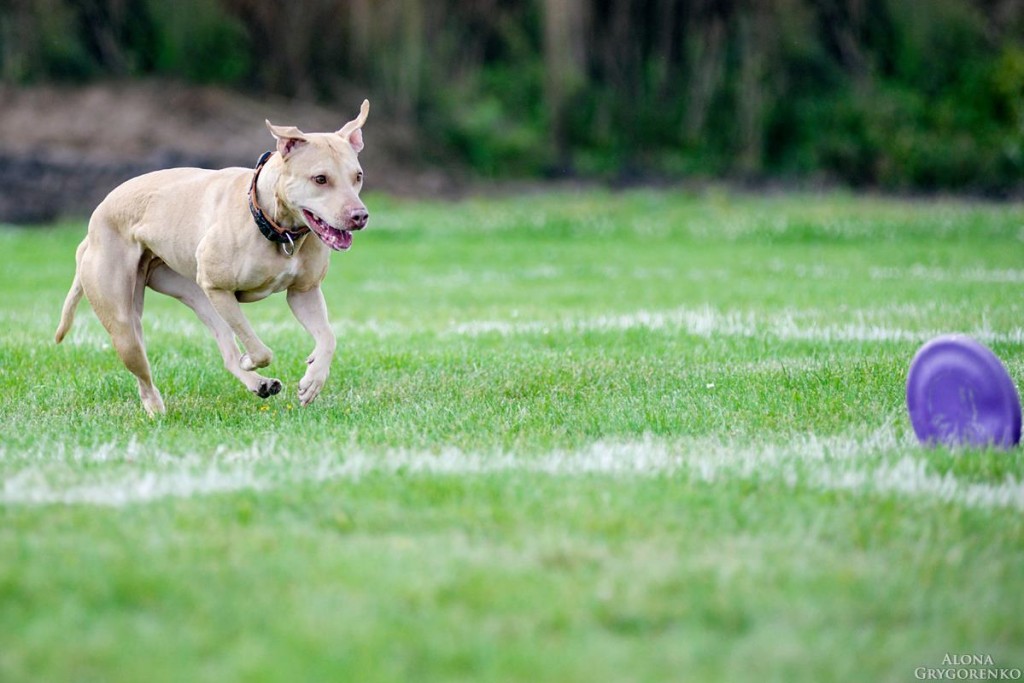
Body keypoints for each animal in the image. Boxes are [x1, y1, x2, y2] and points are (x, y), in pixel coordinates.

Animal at [52, 98, 372, 413]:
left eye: (357, 176)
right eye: (320, 179)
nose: (360, 216)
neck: (272, 223)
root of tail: (92, 228)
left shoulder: (303, 292)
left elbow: (328, 337)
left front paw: (313, 379)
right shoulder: (218, 288)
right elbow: (260, 350)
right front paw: (253, 360)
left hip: (196, 295)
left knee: (226, 349)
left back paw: (259, 384)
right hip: (126, 324)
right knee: (142, 370)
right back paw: (156, 409)